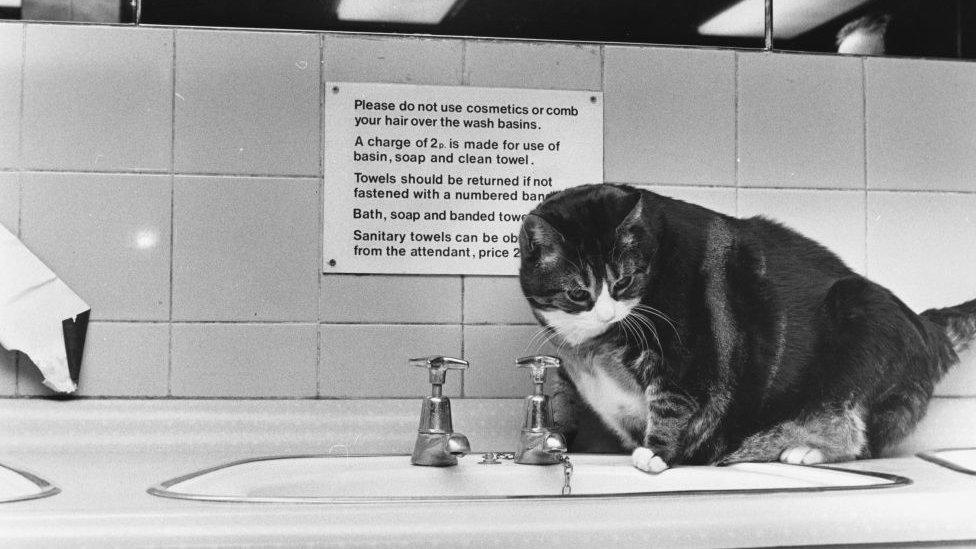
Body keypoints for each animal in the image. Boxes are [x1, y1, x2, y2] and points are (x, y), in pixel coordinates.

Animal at [516, 183, 972, 470]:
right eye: (578, 293)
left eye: (624, 282)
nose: (608, 314)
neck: (592, 346)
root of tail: (926, 327)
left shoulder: (687, 356)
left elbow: (673, 404)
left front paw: (657, 454)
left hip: (858, 315)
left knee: (856, 434)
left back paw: (803, 450)